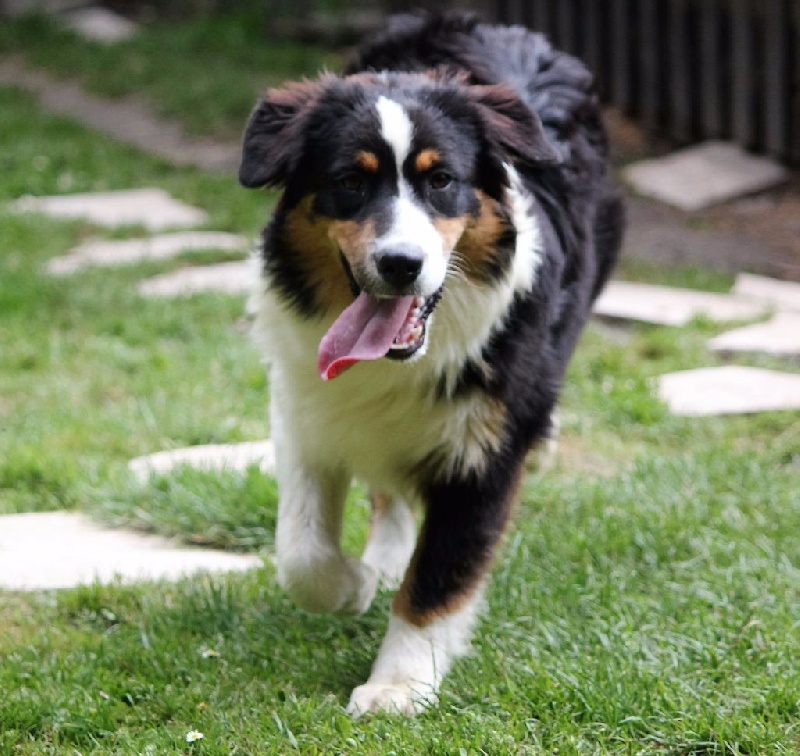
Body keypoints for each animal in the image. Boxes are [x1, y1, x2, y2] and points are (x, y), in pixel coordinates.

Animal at [238, 8, 624, 712]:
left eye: (441, 180)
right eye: (350, 182)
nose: (401, 264)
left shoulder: (486, 451)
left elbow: (439, 578)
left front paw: (398, 685)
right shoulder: (307, 405)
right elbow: (301, 554)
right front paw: (354, 586)